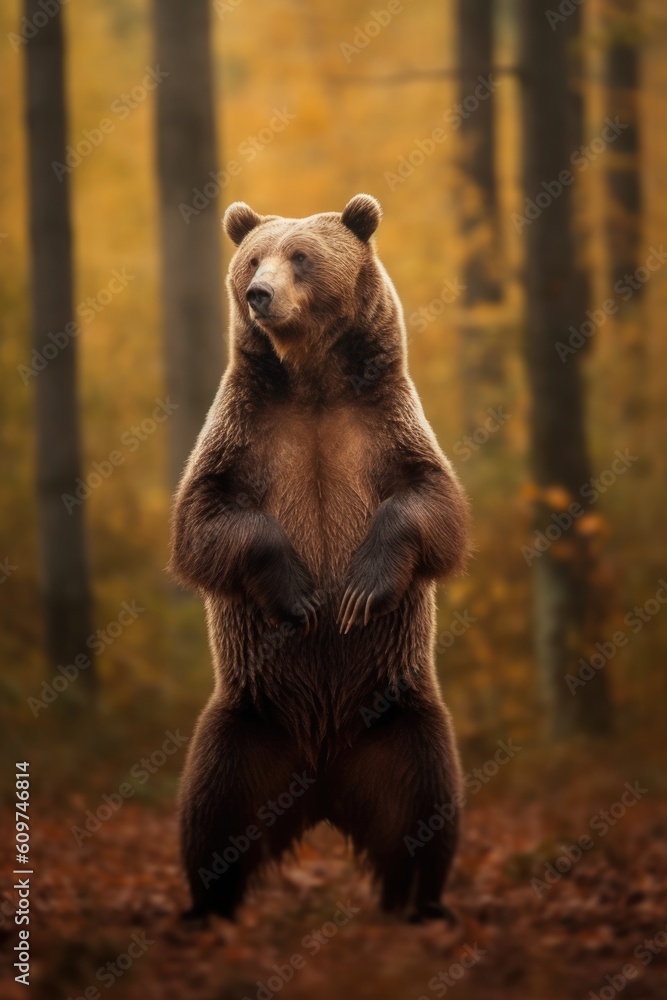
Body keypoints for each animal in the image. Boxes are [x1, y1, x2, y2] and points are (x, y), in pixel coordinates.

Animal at [170, 193, 470, 924]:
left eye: (301, 256)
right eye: (253, 258)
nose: (259, 294)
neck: (311, 382)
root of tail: (323, 780)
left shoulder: (384, 426)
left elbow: (433, 506)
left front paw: (357, 590)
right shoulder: (245, 431)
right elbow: (204, 519)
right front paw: (303, 596)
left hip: (398, 717)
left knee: (429, 806)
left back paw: (423, 902)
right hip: (248, 723)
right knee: (210, 811)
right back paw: (207, 907)